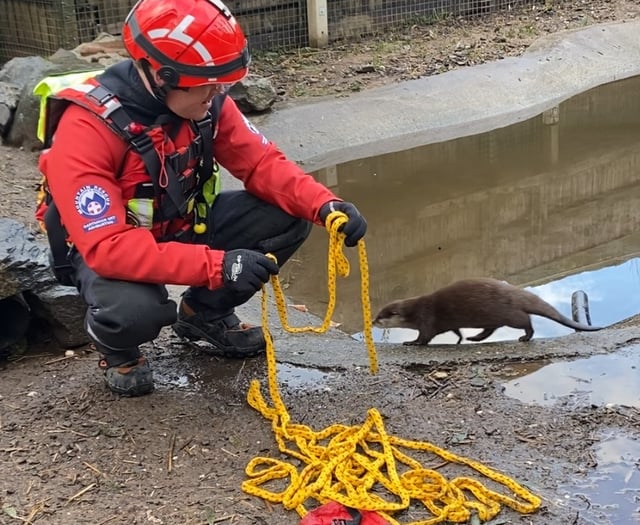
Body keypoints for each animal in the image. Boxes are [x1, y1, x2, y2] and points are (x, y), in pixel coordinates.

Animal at [372, 278, 602, 345]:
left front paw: (410, 342)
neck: (414, 311)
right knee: (491, 329)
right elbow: (455, 331)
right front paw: (460, 339)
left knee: (525, 320)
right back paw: (474, 338)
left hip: (508, 314)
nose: (372, 322)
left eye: (380, 317)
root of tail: (514, 293)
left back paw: (525, 337)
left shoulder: (427, 319)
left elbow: (424, 337)